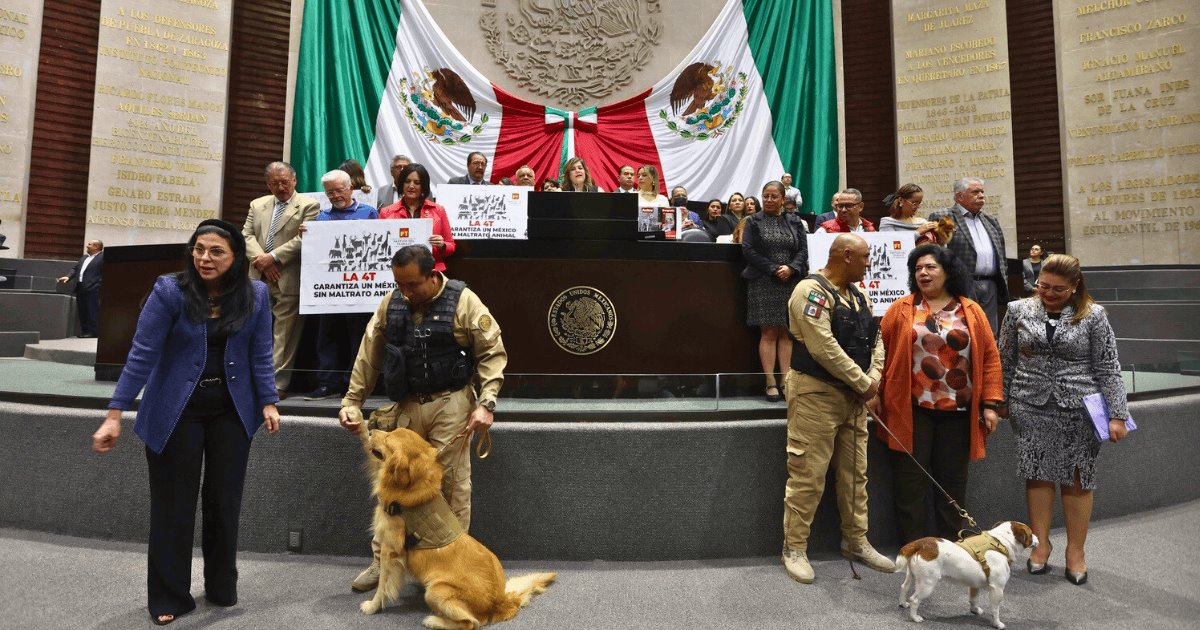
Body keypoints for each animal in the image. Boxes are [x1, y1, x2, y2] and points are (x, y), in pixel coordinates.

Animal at [360, 424, 556, 624]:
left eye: (387, 438)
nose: (370, 429)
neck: (411, 486)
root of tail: (501, 600)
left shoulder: (390, 550)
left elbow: (382, 586)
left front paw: (372, 606)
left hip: (437, 590)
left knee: (471, 622)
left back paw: (433, 621)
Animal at [897, 520, 1036, 628]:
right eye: (1030, 534)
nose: (1037, 538)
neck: (1001, 543)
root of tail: (920, 544)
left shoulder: (974, 585)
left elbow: (973, 599)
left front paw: (975, 610)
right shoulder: (997, 589)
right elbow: (995, 610)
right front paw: (997, 624)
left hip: (911, 575)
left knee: (904, 587)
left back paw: (903, 603)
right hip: (927, 584)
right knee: (914, 599)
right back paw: (915, 617)